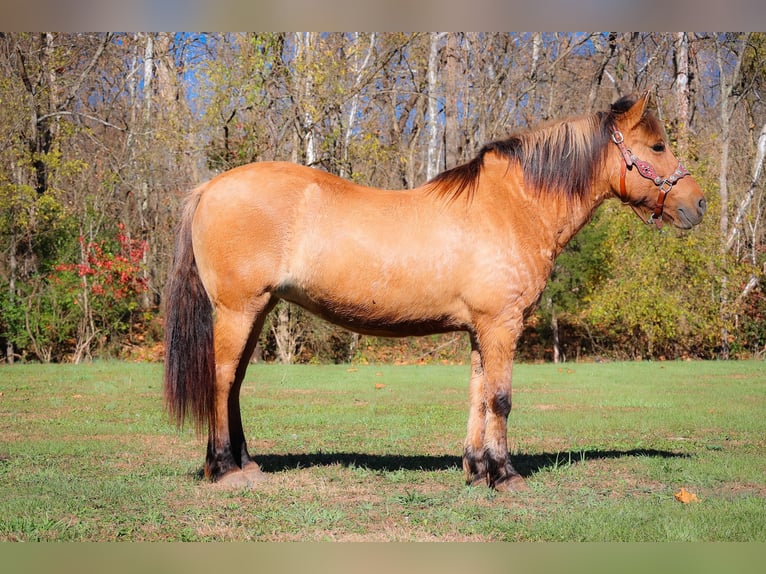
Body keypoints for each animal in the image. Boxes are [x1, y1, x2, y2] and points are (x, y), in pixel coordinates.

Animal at [164, 91, 706, 491]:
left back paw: (245, 463)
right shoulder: (502, 325)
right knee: (221, 380)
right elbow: (501, 399)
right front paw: (505, 476)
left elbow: (478, 396)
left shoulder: (482, 329)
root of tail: (209, 188)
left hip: (257, 310)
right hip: (238, 310)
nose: (698, 204)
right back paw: (224, 469)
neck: (512, 206)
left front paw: (477, 469)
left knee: (234, 382)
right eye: (658, 147)